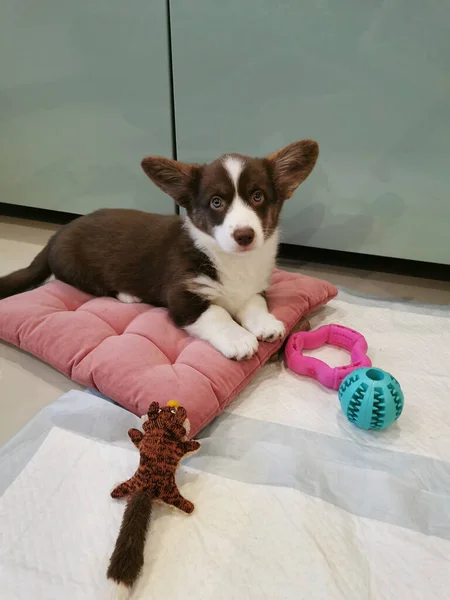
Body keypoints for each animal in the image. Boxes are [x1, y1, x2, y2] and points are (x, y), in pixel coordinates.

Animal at [0, 139, 318, 360]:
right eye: (216, 202)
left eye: (257, 196)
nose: (244, 236)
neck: (231, 260)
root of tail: (57, 234)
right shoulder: (182, 297)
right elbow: (217, 314)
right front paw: (238, 339)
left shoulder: (254, 288)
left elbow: (254, 303)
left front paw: (265, 324)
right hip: (77, 268)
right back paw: (128, 294)